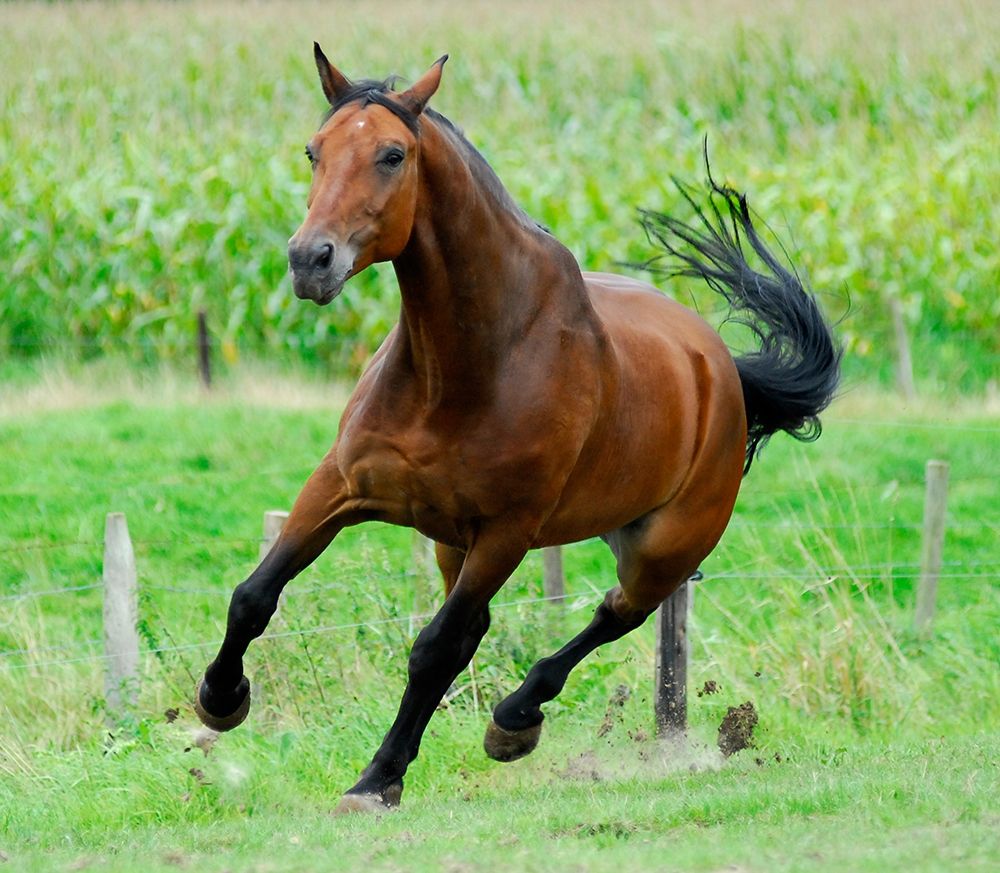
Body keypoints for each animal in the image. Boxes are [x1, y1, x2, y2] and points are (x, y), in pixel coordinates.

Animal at [194, 45, 840, 814]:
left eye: (392, 155)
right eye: (313, 151)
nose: (308, 260)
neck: (463, 368)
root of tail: (720, 367)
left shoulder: (509, 528)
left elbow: (433, 649)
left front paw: (376, 780)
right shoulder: (341, 488)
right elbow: (254, 595)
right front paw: (220, 699)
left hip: (662, 549)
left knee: (613, 612)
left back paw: (514, 718)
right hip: (458, 540)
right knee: (489, 623)